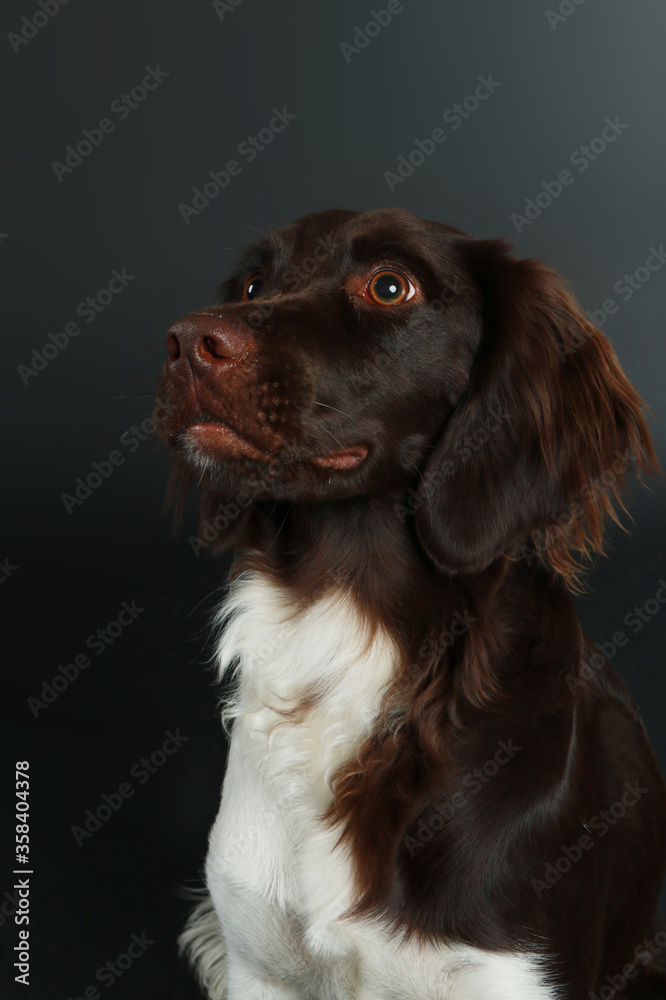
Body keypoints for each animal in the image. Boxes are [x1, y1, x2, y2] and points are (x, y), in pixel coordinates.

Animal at [157, 207, 664, 996]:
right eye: (253, 284)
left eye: (391, 286)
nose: (185, 345)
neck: (350, 622)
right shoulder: (256, 958)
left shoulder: (511, 969)